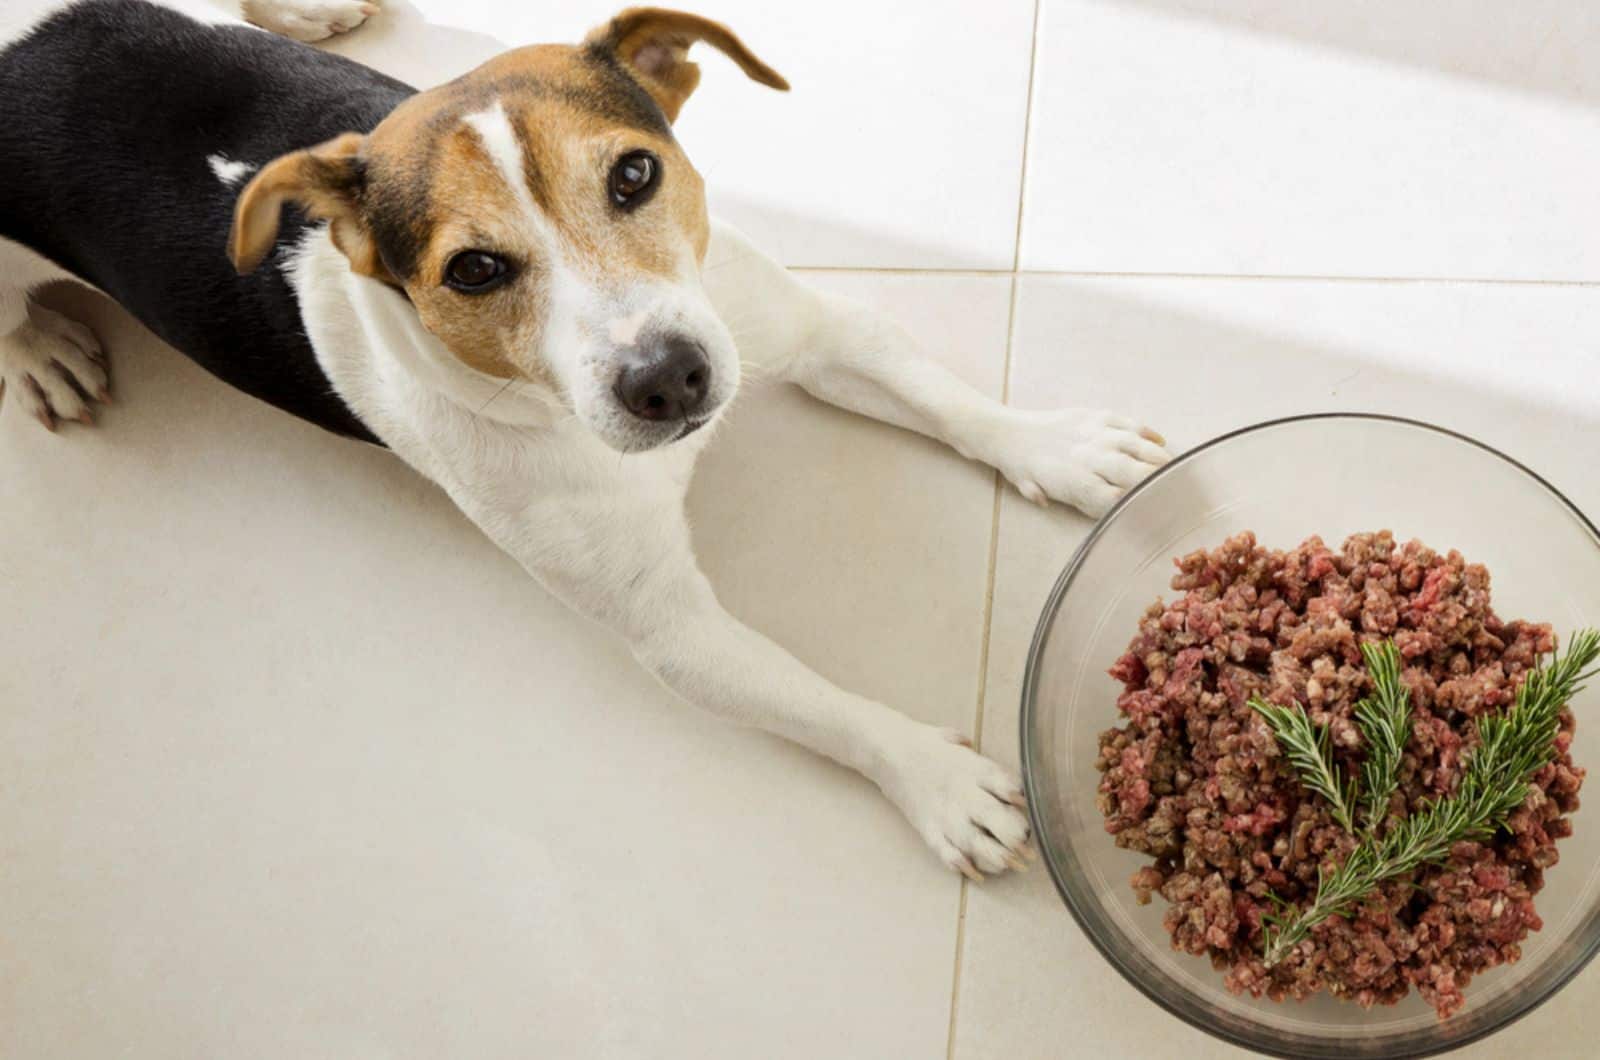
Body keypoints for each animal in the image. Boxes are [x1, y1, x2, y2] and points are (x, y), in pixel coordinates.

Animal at [3, 0, 1177, 877]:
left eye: (633, 175)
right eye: (474, 270)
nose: (667, 379)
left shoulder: (794, 329)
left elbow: (939, 394)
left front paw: (1057, 448)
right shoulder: (673, 630)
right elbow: (817, 702)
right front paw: (931, 778)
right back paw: (39, 352)